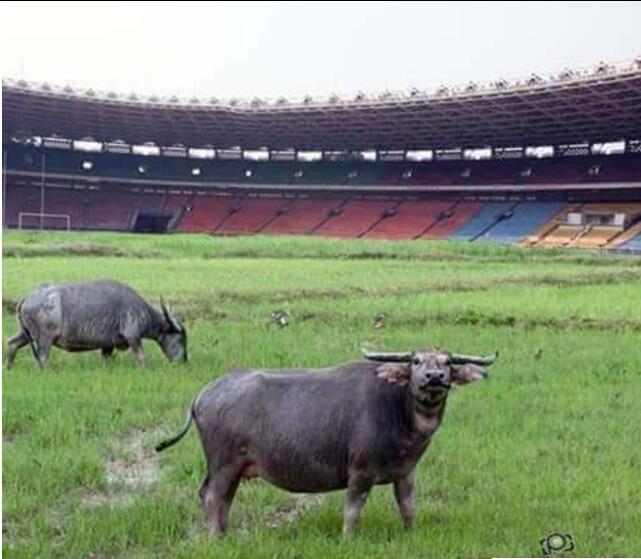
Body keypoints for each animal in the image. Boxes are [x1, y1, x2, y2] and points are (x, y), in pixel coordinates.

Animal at [6, 280, 186, 372]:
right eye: (181, 339)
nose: (184, 360)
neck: (141, 310)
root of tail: (29, 297)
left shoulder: (108, 345)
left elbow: (106, 361)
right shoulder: (133, 337)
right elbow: (142, 357)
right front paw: (146, 371)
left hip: (26, 334)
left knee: (12, 344)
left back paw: (8, 368)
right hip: (44, 339)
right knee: (42, 358)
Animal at [155, 348, 496, 536]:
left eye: (447, 362)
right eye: (415, 361)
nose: (434, 377)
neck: (398, 410)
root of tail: (205, 393)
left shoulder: (406, 473)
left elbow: (408, 508)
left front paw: (410, 533)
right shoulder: (360, 472)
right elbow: (353, 511)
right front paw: (349, 539)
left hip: (230, 467)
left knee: (218, 497)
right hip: (224, 462)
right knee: (214, 497)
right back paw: (216, 536)